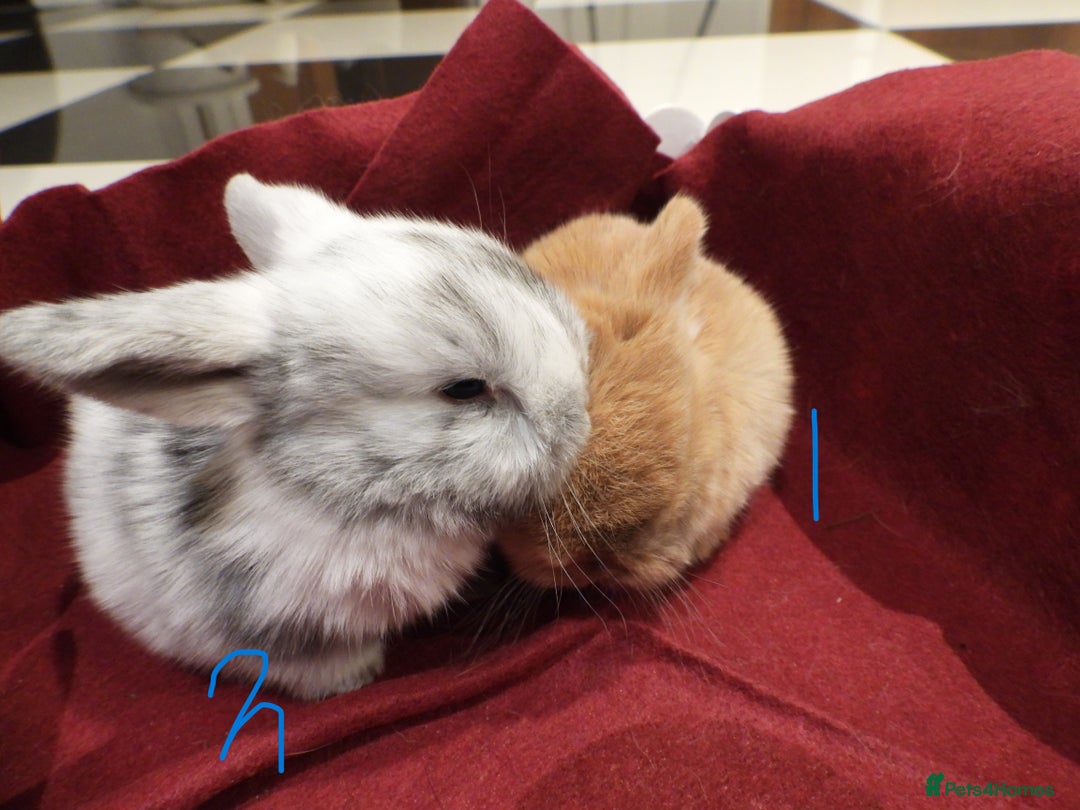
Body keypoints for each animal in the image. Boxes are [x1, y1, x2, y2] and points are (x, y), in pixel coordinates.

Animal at [0, 174, 591, 699]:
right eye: (464, 389)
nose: (578, 420)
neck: (340, 490)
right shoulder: (270, 628)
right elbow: (309, 664)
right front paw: (357, 679)